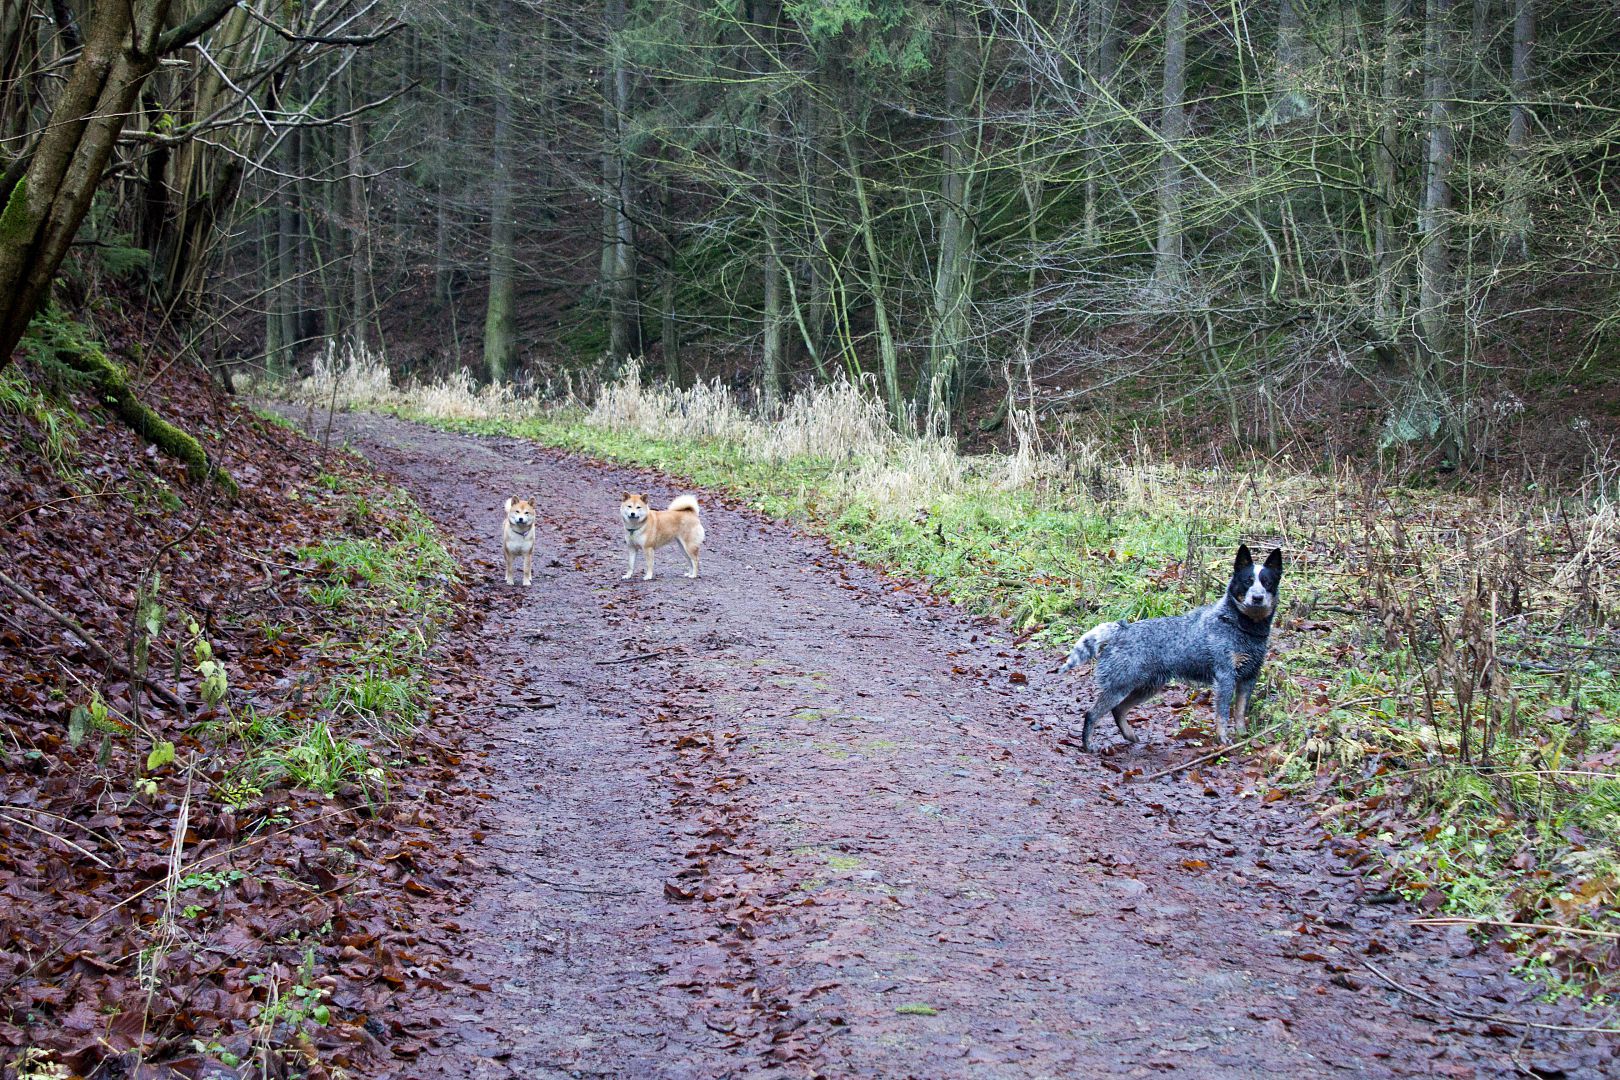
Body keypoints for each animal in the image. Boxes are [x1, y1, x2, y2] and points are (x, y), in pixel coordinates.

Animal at [1056, 544, 1283, 748]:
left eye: (1267, 582)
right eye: (1247, 581)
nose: (1257, 597)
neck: (1242, 627)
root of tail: (1121, 630)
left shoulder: (1249, 677)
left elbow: (1240, 711)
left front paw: (1243, 736)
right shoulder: (1225, 676)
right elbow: (1223, 714)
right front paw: (1222, 739)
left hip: (1147, 687)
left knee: (1118, 710)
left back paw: (1130, 736)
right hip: (1120, 686)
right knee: (1092, 714)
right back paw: (1088, 745)